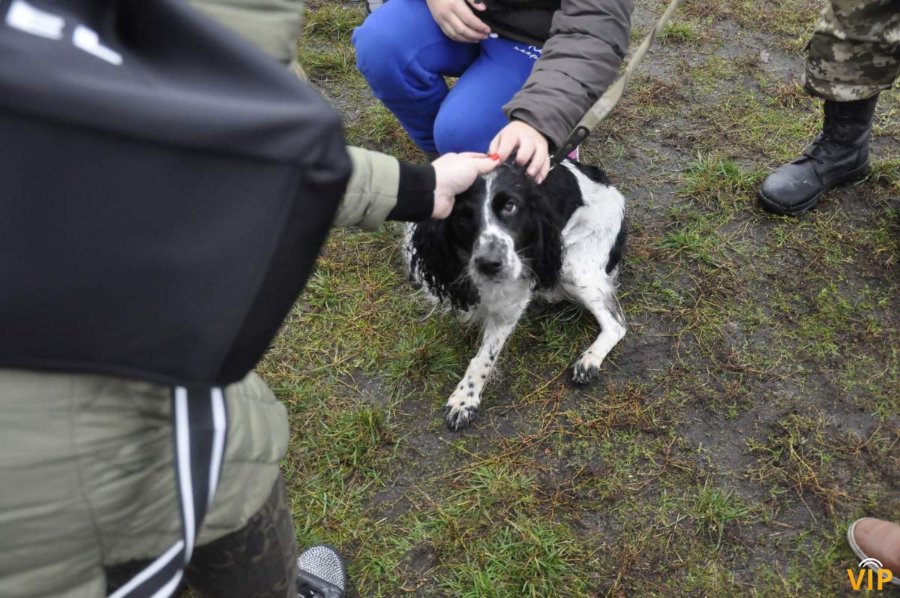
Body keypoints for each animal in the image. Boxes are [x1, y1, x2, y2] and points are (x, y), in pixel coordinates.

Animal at [405, 159, 626, 430]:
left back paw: (590, 359)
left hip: (573, 266)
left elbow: (484, 358)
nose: (490, 263)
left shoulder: (511, 304)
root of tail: (606, 184)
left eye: (510, 206)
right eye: (463, 216)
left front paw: (465, 399)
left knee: (616, 324)